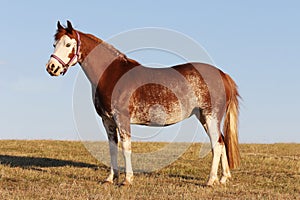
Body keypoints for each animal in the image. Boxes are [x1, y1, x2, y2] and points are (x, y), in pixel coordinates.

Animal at [45, 20, 240, 186]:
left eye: (68, 45)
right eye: (55, 44)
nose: (51, 68)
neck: (111, 75)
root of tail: (222, 75)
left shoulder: (122, 119)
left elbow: (126, 148)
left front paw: (127, 180)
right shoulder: (107, 121)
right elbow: (112, 148)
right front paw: (110, 178)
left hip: (210, 116)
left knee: (216, 144)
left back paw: (211, 180)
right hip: (204, 117)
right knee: (222, 142)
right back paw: (224, 178)